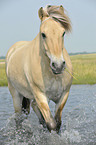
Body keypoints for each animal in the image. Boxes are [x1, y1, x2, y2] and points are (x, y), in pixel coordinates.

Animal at [5, 4, 72, 133]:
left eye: (63, 33)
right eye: (43, 34)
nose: (58, 65)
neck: (53, 75)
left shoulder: (63, 95)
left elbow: (57, 123)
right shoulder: (40, 95)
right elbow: (51, 124)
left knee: (35, 110)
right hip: (16, 94)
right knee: (19, 117)